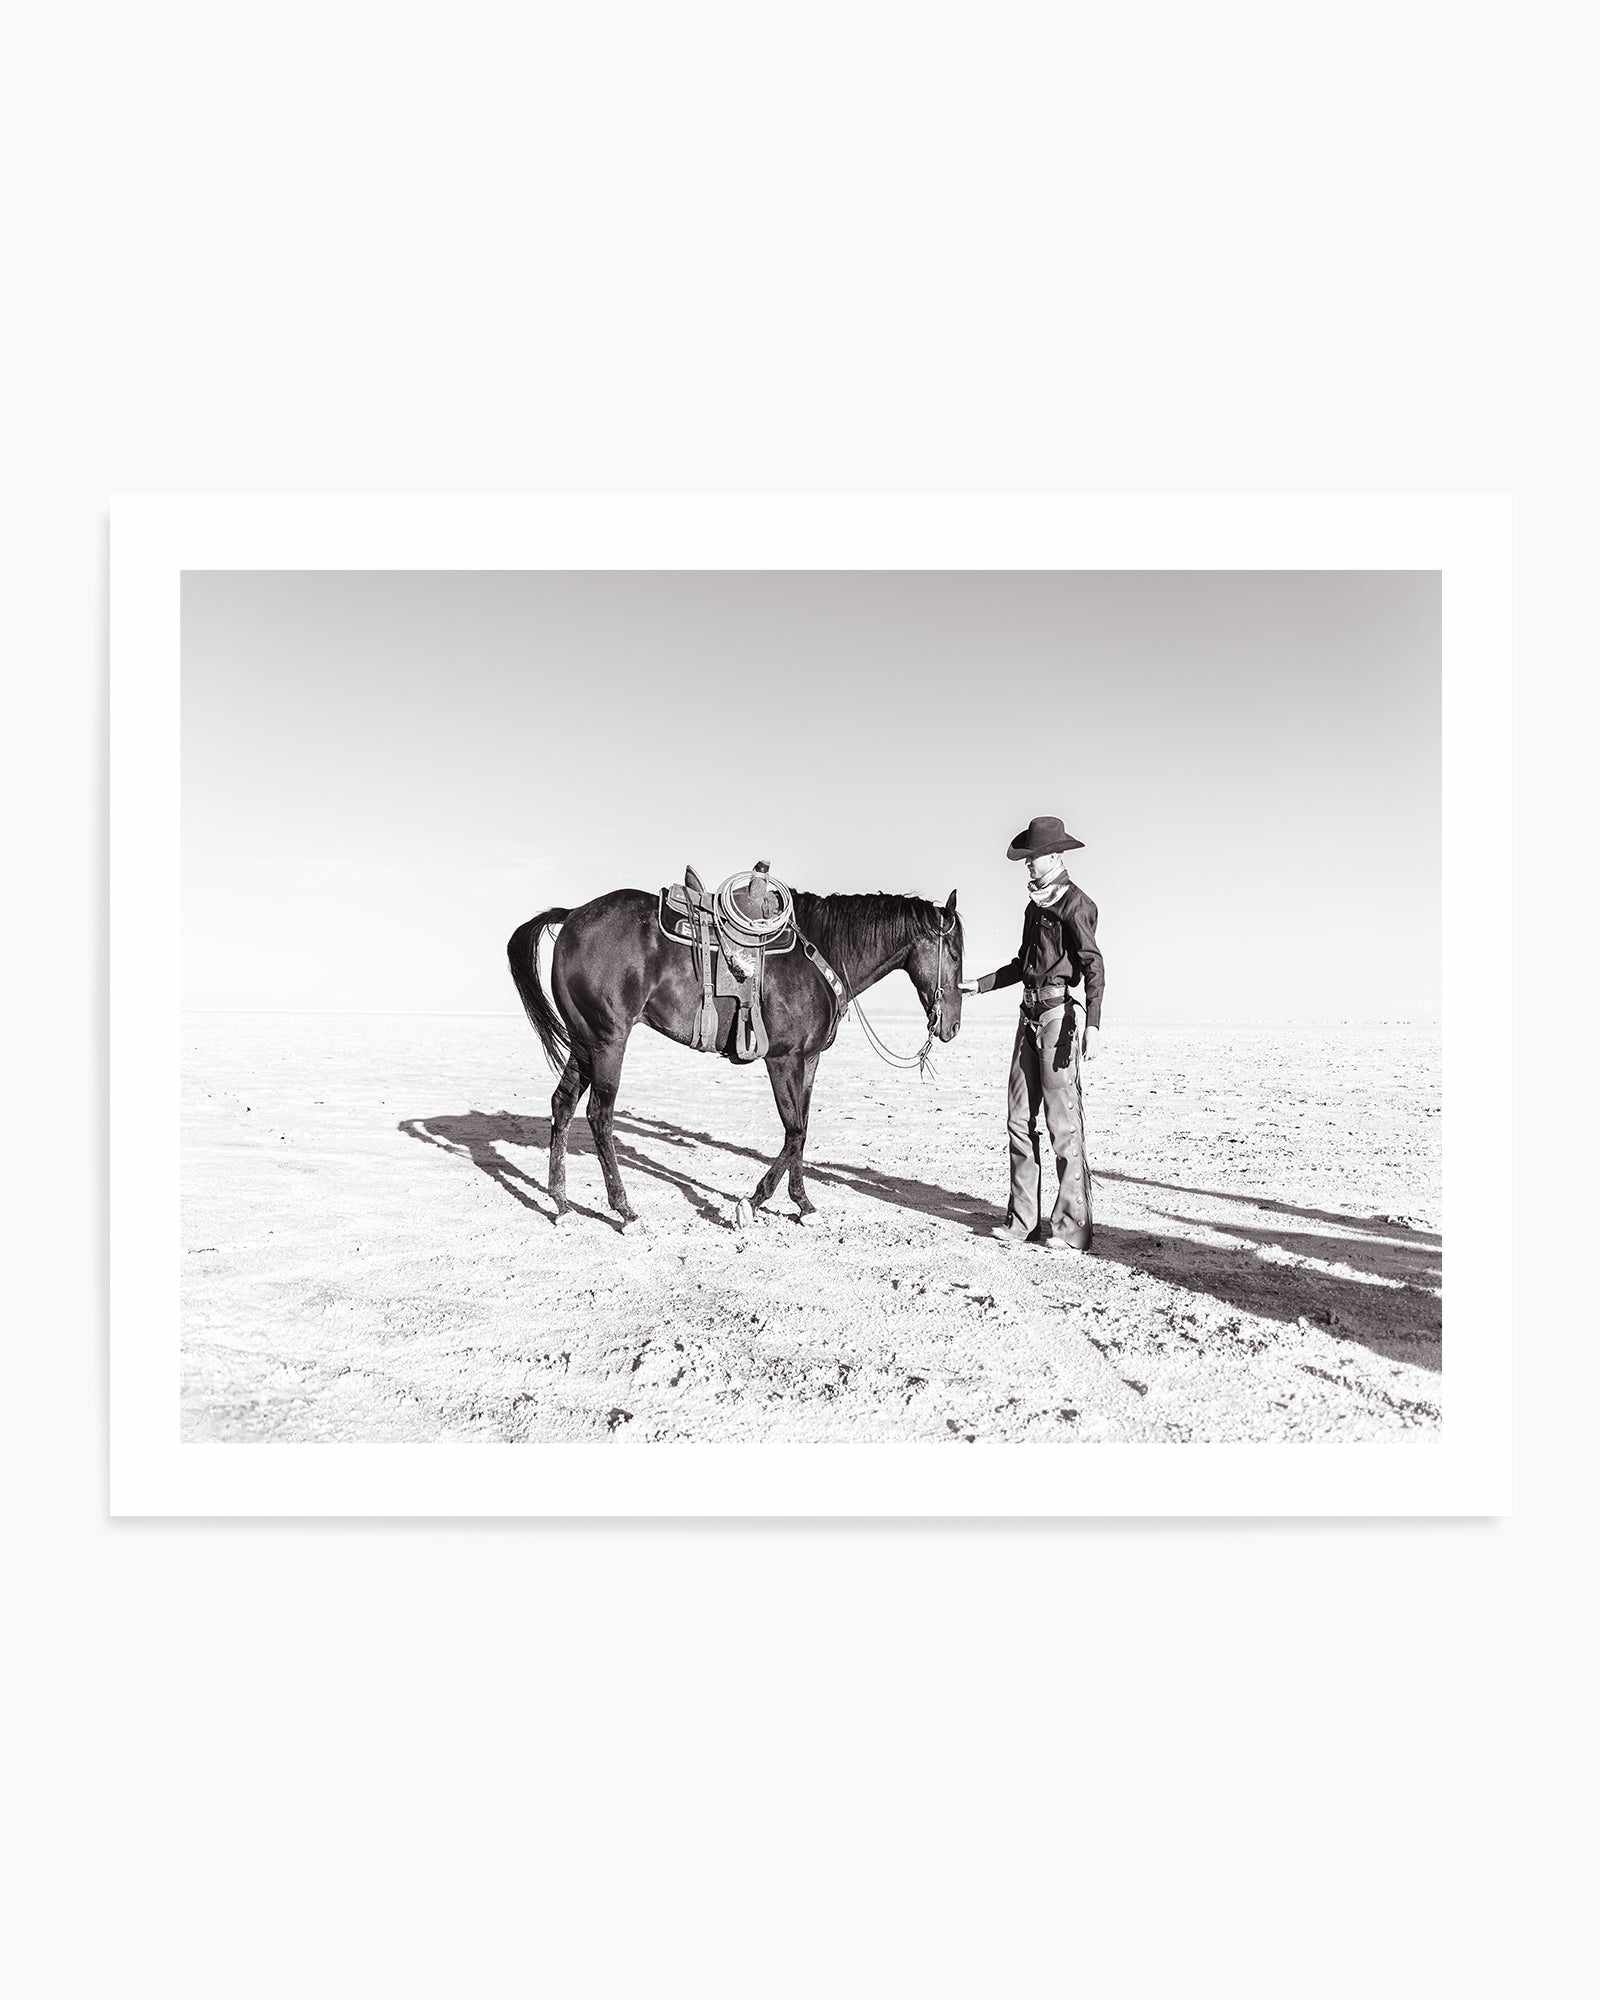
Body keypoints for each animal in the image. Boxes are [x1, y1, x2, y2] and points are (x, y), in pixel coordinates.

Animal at [506, 886, 963, 1228]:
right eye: (955, 955)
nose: (952, 1025)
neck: (820, 953)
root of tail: (572, 916)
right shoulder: (782, 1059)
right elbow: (794, 1130)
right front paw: (753, 1202)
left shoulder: (809, 1060)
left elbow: (803, 1130)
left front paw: (803, 1204)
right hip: (607, 1042)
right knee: (599, 1115)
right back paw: (624, 1210)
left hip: (584, 1042)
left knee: (563, 1105)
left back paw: (562, 1204)